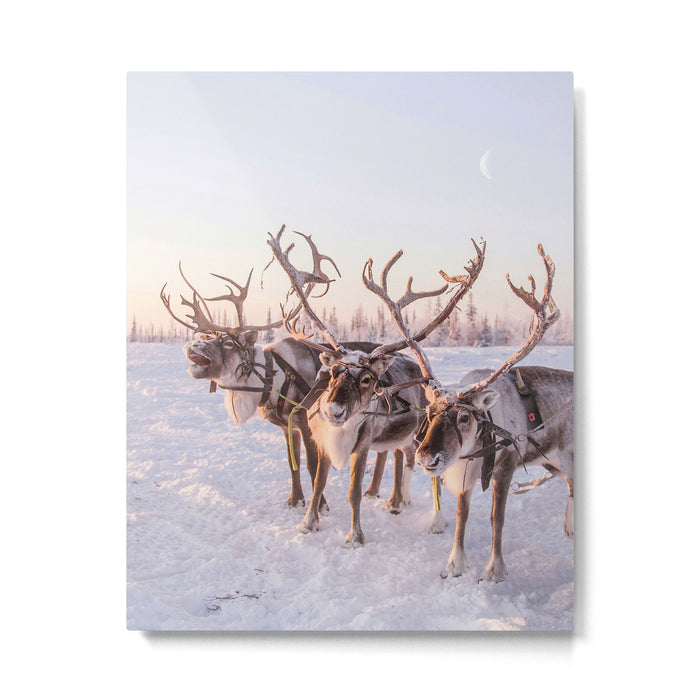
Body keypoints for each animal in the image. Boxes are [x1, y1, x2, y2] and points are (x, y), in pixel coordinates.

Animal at [160, 227, 390, 512]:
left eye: (227, 342)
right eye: (209, 338)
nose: (192, 345)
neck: (271, 380)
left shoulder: (305, 423)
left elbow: (312, 466)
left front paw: (320, 505)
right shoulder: (286, 426)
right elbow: (292, 464)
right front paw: (295, 499)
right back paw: (372, 490)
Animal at [267, 228, 486, 547]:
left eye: (367, 379)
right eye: (332, 373)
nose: (334, 411)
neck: (340, 433)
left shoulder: (362, 446)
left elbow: (353, 492)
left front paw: (355, 536)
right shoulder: (322, 442)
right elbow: (319, 483)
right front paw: (308, 523)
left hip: (422, 431)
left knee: (419, 463)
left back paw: (426, 515)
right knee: (400, 455)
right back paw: (396, 501)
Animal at [369, 243, 573, 582]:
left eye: (464, 418)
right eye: (429, 414)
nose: (427, 458)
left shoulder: (505, 467)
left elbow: (496, 519)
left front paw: (495, 569)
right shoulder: (463, 472)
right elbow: (461, 516)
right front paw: (456, 563)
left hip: (566, 455)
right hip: (552, 460)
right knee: (569, 483)